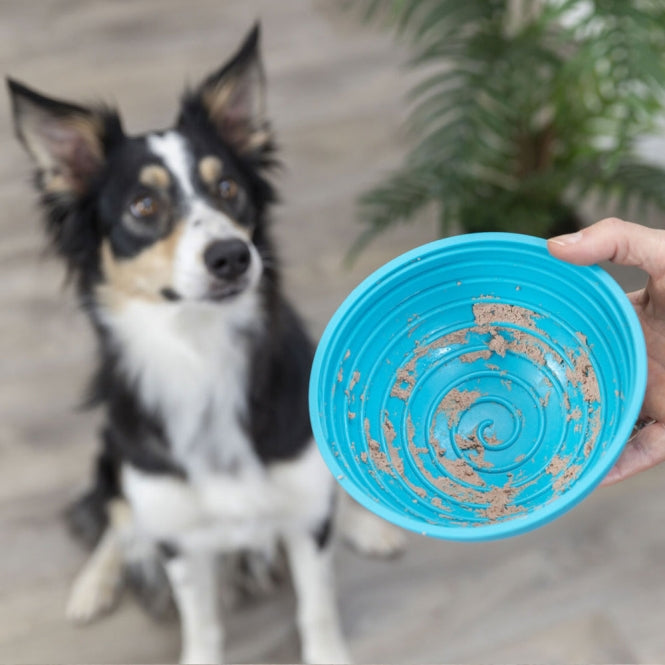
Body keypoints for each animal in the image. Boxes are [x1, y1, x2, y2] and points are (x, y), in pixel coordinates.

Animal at [7, 23, 402, 660]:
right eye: (143, 205)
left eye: (228, 188)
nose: (232, 256)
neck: (201, 350)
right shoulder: (180, 540)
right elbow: (202, 620)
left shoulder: (303, 513)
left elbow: (316, 607)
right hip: (111, 452)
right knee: (115, 517)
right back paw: (92, 584)